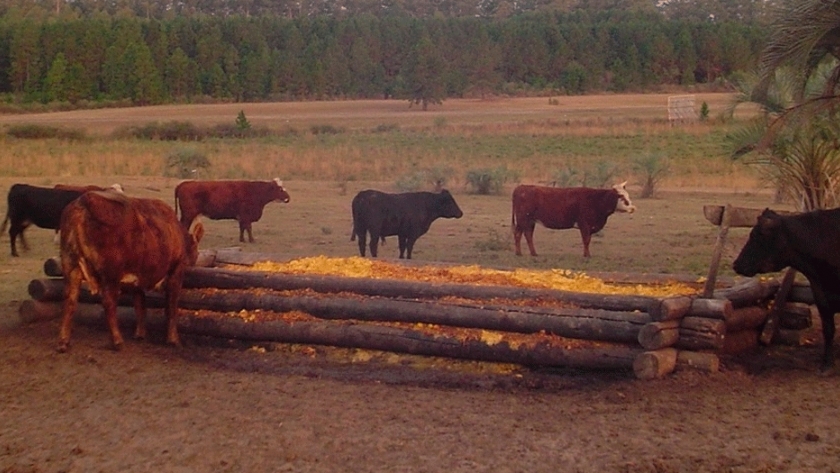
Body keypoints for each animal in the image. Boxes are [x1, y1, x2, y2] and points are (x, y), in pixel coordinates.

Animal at [58, 191, 204, 352]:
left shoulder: (138, 277)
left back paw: (63, 341)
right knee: (108, 303)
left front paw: (140, 334)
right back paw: (117, 341)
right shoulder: (176, 271)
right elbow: (171, 307)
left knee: (70, 300)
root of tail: (84, 201)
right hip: (110, 274)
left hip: (71, 267)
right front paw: (173, 339)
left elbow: (140, 305)